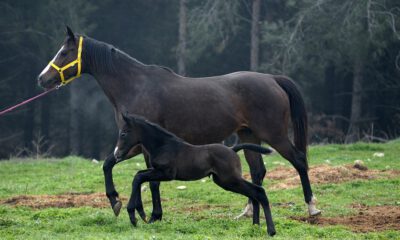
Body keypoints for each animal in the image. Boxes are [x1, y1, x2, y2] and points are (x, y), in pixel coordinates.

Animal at [114, 114, 276, 236]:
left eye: (123, 133)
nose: (117, 155)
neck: (163, 146)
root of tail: (233, 149)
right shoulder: (157, 171)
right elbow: (138, 176)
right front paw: (140, 213)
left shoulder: (166, 173)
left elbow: (138, 177)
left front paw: (134, 215)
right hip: (224, 181)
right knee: (254, 194)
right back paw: (255, 226)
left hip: (230, 180)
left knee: (259, 191)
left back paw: (271, 231)